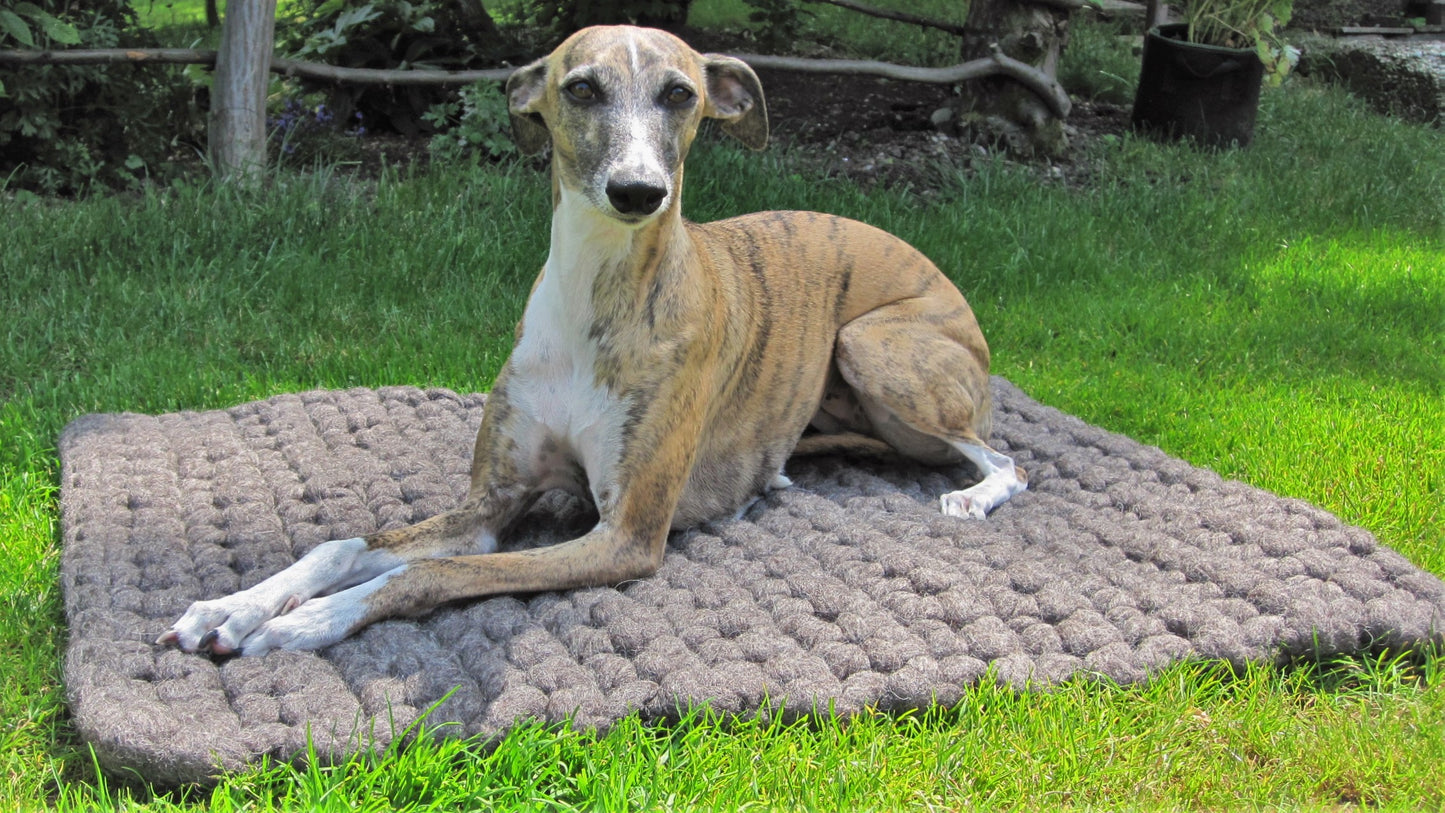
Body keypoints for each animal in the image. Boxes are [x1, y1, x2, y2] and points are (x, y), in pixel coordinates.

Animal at [161, 25, 1028, 658]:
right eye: (580, 87)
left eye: (679, 94)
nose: (639, 192)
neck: (593, 295)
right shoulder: (490, 502)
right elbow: (345, 543)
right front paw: (232, 606)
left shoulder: (623, 535)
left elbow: (432, 569)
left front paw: (301, 621)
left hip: (874, 343)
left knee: (1006, 459)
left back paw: (972, 495)